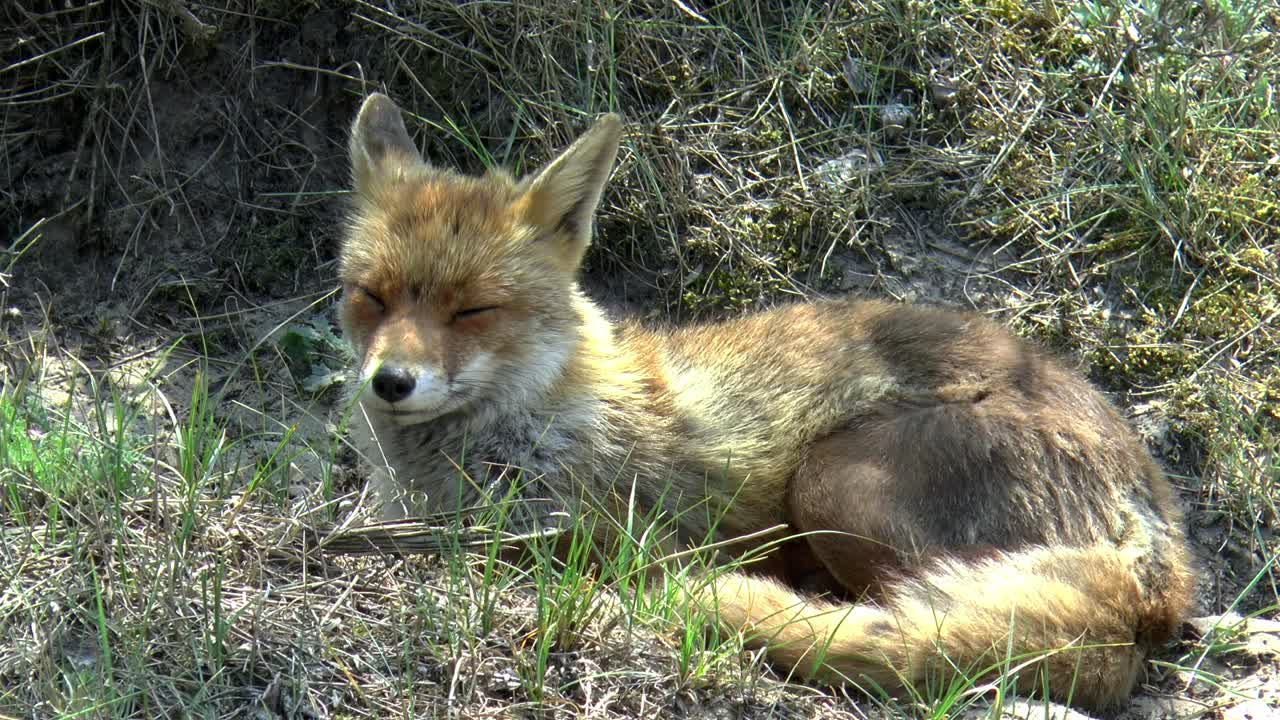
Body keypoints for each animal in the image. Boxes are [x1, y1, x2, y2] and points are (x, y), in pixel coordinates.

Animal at [337, 92, 1196, 712]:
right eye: (371, 296)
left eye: (473, 310)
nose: (390, 382)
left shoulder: (597, 531)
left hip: (832, 483)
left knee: (923, 626)